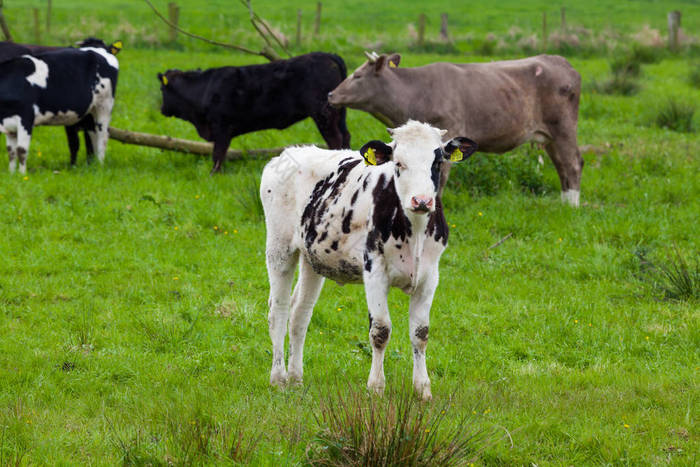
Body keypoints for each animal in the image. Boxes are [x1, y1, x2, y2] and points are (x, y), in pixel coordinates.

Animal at [0, 41, 119, 173]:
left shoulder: (26, 118)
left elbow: (21, 150)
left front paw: (22, 175)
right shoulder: (9, 122)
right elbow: (11, 151)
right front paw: (12, 174)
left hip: (104, 106)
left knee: (103, 136)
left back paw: (100, 165)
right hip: (90, 111)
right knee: (92, 134)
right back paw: (93, 165)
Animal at [260, 119, 478, 398]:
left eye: (438, 162)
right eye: (398, 163)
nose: (421, 201)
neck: (415, 232)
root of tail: (290, 152)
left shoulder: (431, 275)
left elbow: (420, 333)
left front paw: (422, 389)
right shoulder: (374, 270)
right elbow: (381, 329)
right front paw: (376, 387)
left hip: (312, 257)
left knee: (300, 312)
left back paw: (296, 378)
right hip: (279, 248)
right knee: (278, 310)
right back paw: (278, 378)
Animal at [330, 51, 584, 207]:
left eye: (358, 76)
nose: (331, 94)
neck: (417, 92)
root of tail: (561, 61)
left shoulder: (449, 132)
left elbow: (440, 178)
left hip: (563, 128)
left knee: (572, 163)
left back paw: (571, 206)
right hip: (549, 137)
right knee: (561, 165)